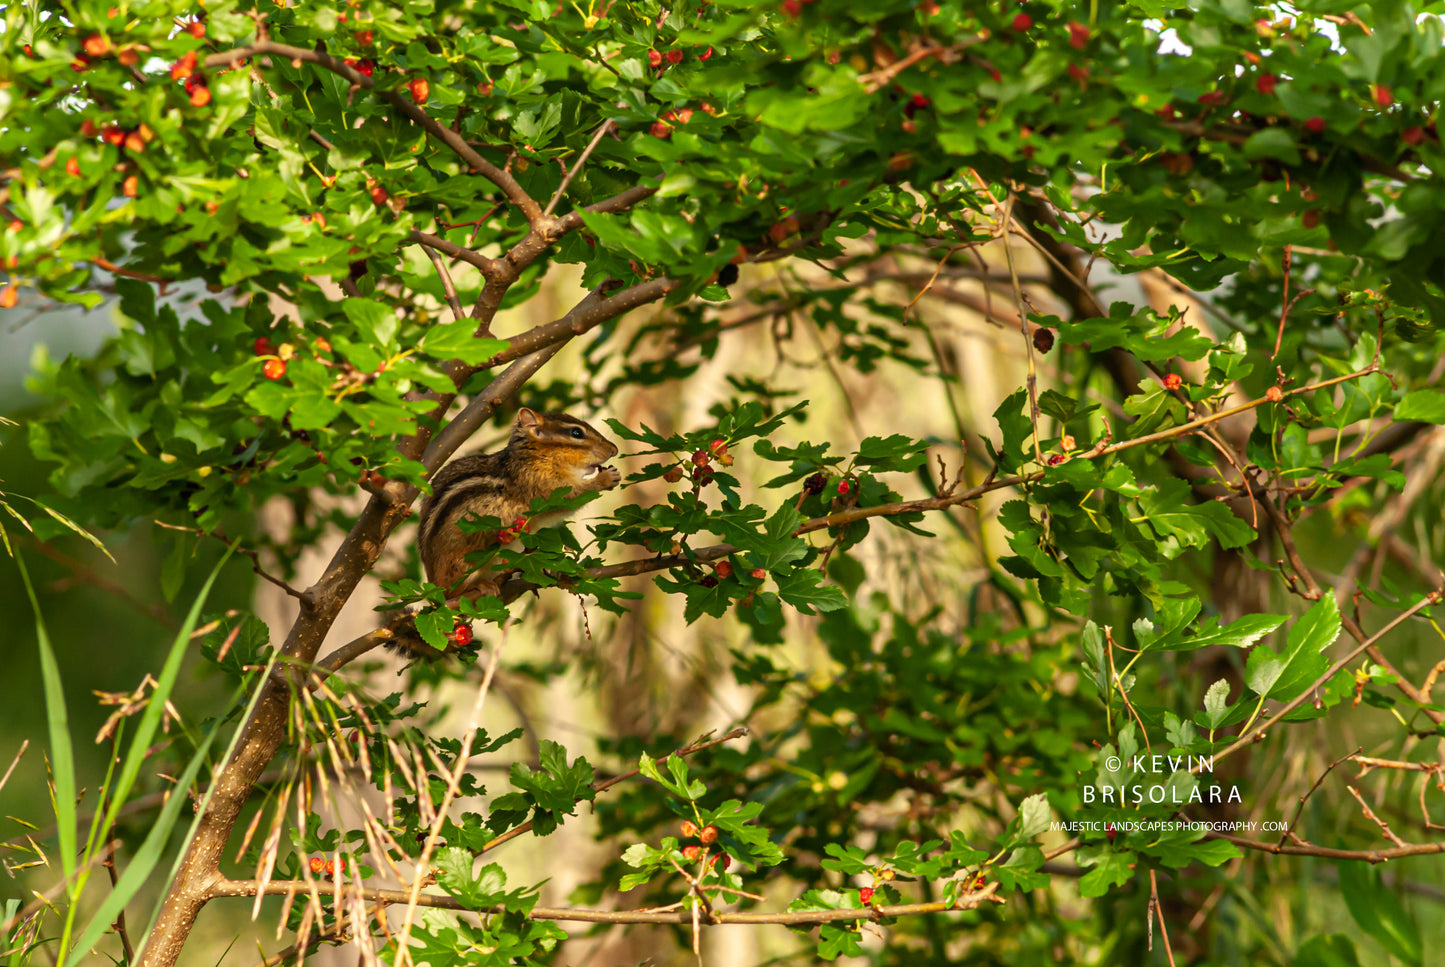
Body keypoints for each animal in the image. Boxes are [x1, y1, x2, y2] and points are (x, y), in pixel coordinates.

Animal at [387, 408, 621, 656]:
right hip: (463, 564)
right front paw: (605, 478)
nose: (614, 449)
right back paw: (480, 585)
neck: (537, 456)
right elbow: (573, 496)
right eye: (576, 433)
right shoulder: (547, 488)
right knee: (454, 591)